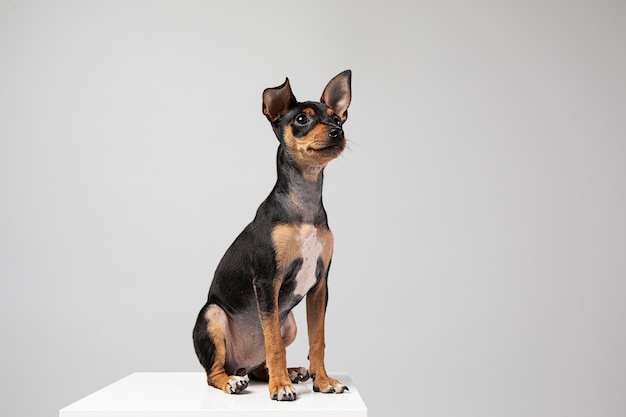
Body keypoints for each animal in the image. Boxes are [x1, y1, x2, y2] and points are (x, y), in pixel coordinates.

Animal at [191, 70, 352, 400]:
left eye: (337, 119)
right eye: (302, 119)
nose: (336, 133)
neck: (303, 204)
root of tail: (239, 363)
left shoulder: (320, 286)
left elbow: (318, 340)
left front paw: (323, 381)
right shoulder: (267, 282)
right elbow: (274, 344)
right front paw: (280, 388)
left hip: (288, 322)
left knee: (258, 366)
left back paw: (293, 372)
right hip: (212, 315)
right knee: (214, 372)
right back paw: (236, 381)